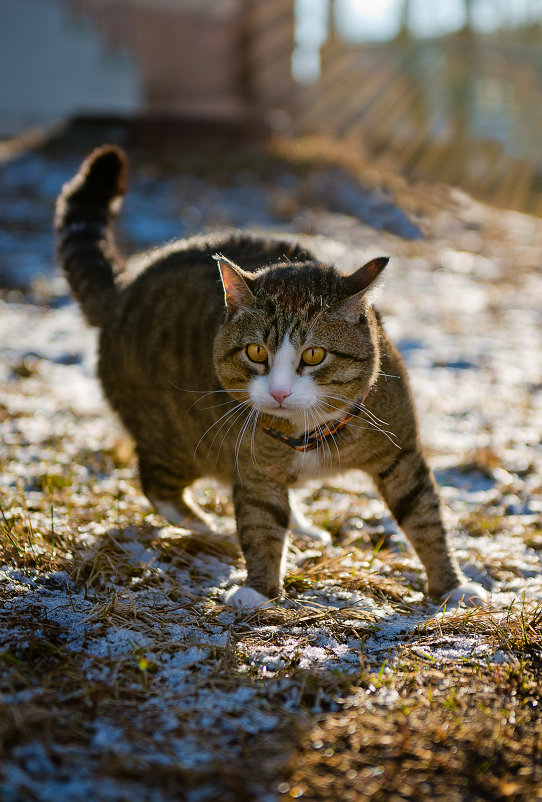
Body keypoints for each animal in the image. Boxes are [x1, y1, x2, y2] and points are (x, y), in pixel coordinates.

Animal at [56, 145, 488, 608]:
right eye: (256, 352)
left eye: (314, 354)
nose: (279, 392)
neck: (310, 433)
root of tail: (122, 292)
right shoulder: (252, 463)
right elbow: (260, 521)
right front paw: (258, 590)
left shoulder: (400, 452)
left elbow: (423, 517)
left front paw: (453, 587)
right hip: (175, 438)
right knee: (157, 483)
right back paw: (209, 527)